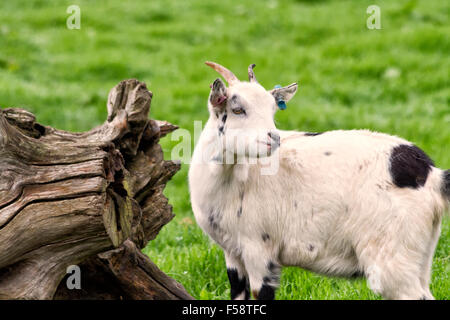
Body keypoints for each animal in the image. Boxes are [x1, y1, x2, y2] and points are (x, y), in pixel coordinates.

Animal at [188, 62, 448, 300]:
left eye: (273, 111)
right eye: (237, 110)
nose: (274, 139)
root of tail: (432, 174)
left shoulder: (259, 248)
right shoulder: (233, 252)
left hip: (393, 254)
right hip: (420, 254)